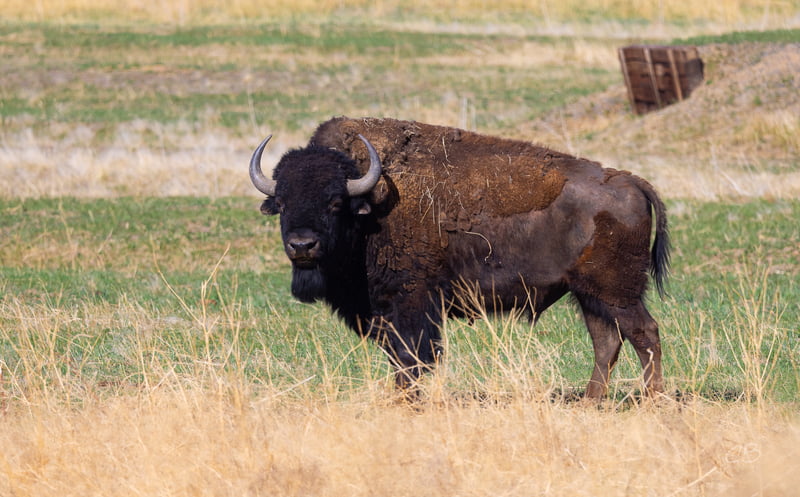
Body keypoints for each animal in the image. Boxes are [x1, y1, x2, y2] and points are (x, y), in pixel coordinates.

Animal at [250, 117, 669, 399]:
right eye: (281, 202)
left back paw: (651, 400)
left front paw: (408, 403)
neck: (369, 204)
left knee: (644, 334)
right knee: (607, 342)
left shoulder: (411, 304)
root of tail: (631, 181)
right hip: (589, 296)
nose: (302, 246)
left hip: (617, 293)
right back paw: (589, 401)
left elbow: (413, 358)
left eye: (335, 202)